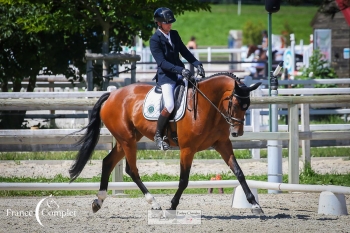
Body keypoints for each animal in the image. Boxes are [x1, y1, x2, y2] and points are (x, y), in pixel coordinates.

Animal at [69, 73, 264, 215]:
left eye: (247, 106)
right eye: (235, 104)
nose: (237, 132)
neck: (207, 105)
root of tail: (112, 94)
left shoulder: (222, 144)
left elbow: (239, 172)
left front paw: (255, 205)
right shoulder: (188, 149)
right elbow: (184, 180)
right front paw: (172, 206)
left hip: (126, 140)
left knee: (108, 162)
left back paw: (99, 201)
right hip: (127, 140)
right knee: (132, 170)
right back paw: (154, 203)